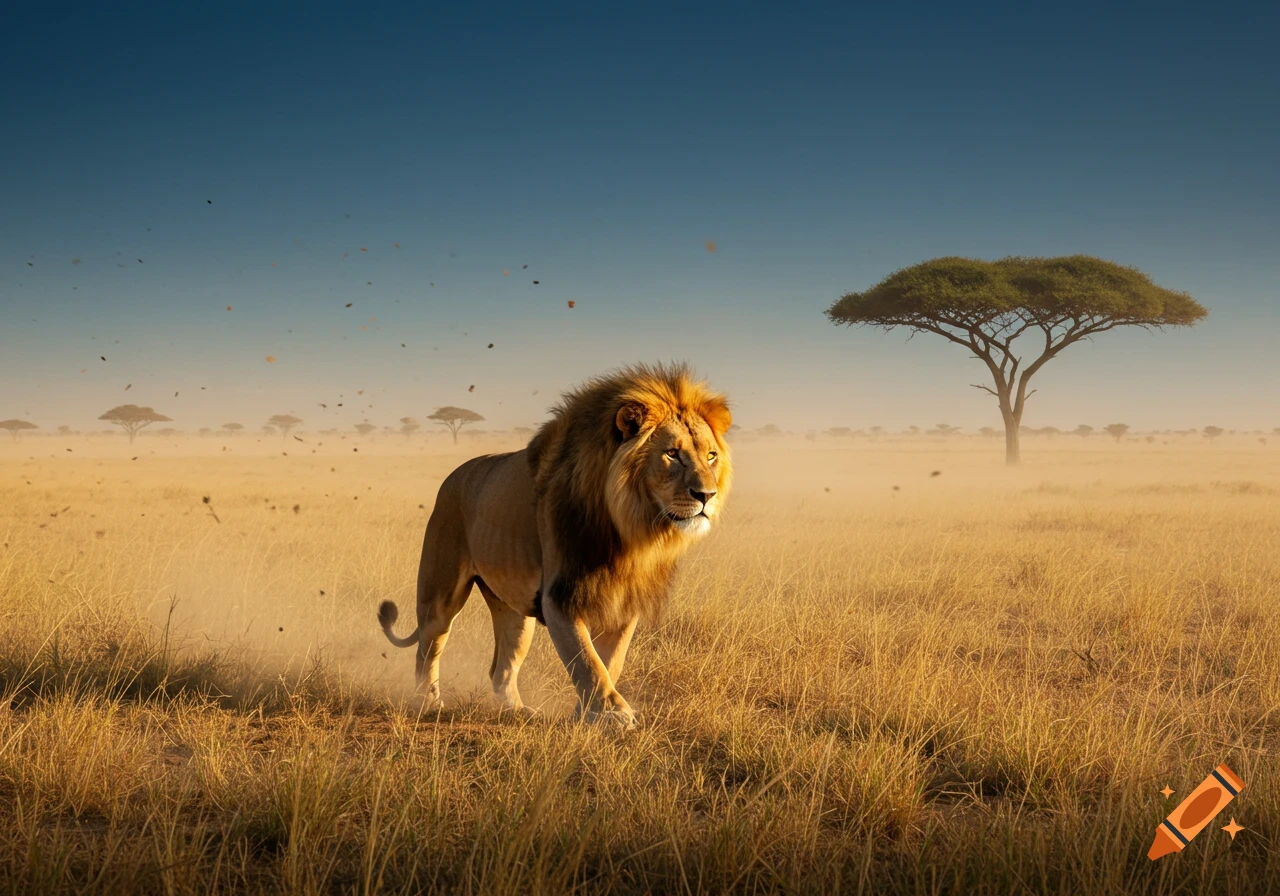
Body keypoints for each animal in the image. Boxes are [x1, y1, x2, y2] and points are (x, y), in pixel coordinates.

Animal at [377, 362, 732, 726]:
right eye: (672, 454)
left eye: (711, 456)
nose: (706, 495)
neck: (631, 532)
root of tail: (453, 475)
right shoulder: (560, 595)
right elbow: (586, 659)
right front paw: (614, 714)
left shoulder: (624, 600)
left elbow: (610, 661)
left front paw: (588, 713)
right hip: (440, 594)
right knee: (427, 648)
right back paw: (427, 701)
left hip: (515, 613)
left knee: (501, 668)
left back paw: (516, 710)